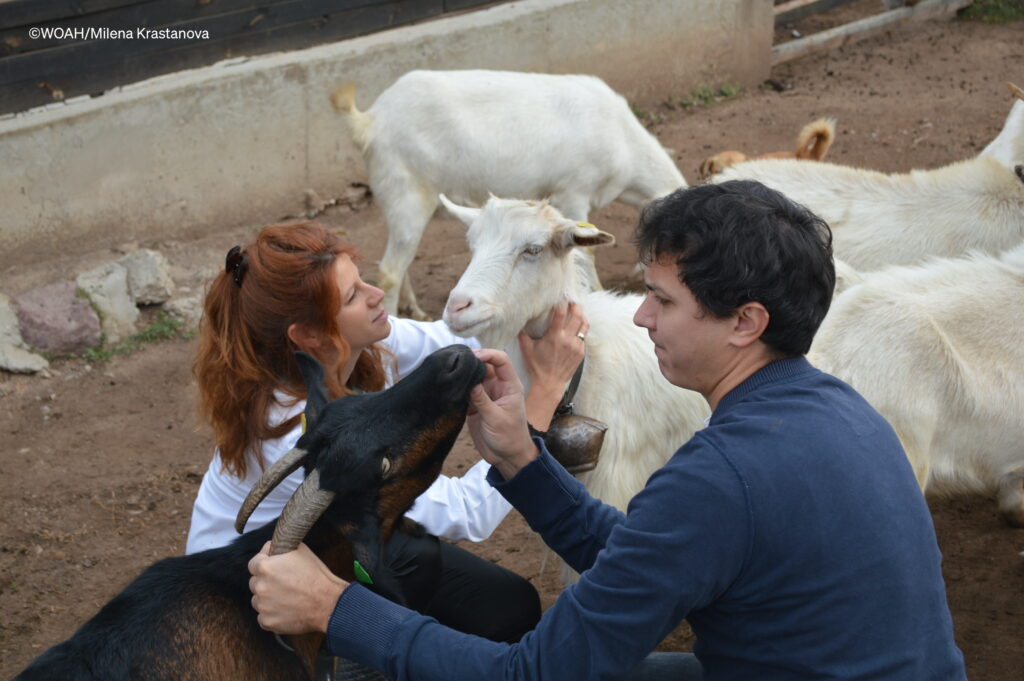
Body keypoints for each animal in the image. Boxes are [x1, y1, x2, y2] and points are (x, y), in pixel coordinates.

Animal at [333, 70, 688, 319]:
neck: (624, 141)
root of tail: (372, 121)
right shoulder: (573, 191)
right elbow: (586, 252)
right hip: (408, 193)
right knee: (389, 271)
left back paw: (414, 310)